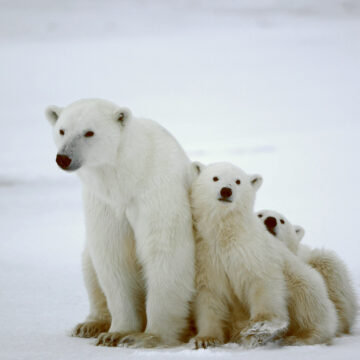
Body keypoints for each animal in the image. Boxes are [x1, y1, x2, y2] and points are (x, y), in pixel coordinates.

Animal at [46, 100, 197, 348]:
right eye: (62, 130)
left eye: (89, 132)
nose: (63, 158)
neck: (127, 177)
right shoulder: (104, 203)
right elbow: (113, 257)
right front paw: (116, 333)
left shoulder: (157, 191)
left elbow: (165, 252)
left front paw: (148, 337)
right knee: (89, 265)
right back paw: (90, 325)